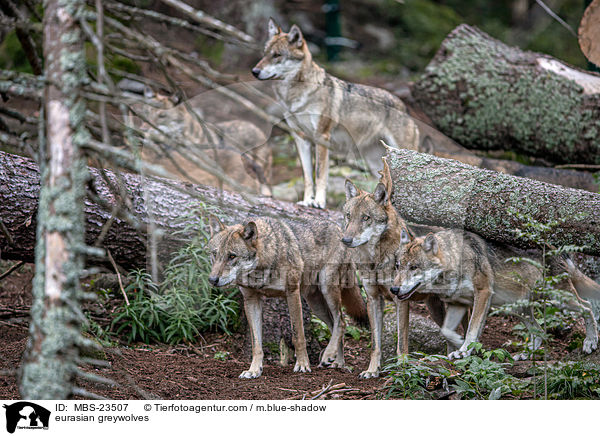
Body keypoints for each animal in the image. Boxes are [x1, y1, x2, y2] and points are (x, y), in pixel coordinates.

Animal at [206, 216, 368, 376]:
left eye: (232, 256)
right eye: (214, 254)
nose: (212, 280)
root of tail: (340, 229)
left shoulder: (292, 293)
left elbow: (298, 335)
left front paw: (302, 365)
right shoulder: (251, 300)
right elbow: (256, 344)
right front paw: (254, 370)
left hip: (327, 289)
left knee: (341, 322)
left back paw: (329, 355)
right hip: (316, 305)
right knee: (335, 324)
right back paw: (337, 361)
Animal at [252, 17, 418, 208]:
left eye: (277, 55)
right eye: (265, 53)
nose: (254, 72)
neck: (295, 96)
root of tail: (405, 108)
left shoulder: (322, 138)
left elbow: (320, 175)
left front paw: (319, 202)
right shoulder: (301, 139)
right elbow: (307, 176)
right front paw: (306, 201)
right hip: (374, 161)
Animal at [392, 228, 596, 358]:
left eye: (414, 267)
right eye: (398, 266)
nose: (394, 289)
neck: (455, 259)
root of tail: (557, 249)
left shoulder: (483, 293)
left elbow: (472, 328)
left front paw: (464, 350)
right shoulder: (457, 304)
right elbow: (445, 330)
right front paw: (458, 343)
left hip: (558, 300)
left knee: (587, 307)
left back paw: (590, 342)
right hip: (517, 308)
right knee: (539, 330)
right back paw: (525, 355)